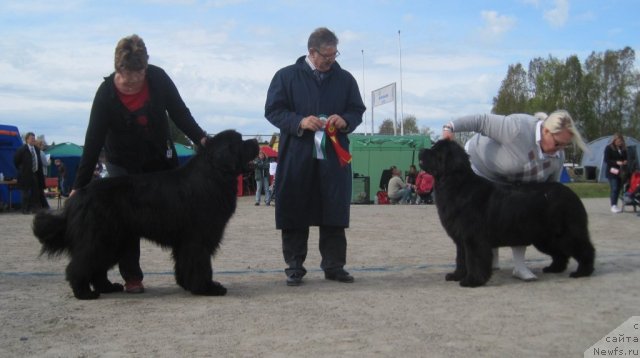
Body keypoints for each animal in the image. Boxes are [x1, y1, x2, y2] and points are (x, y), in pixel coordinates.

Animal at [32, 130, 258, 298]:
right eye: (240, 141)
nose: (256, 141)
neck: (214, 174)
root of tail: (77, 196)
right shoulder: (198, 237)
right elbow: (200, 263)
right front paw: (206, 287)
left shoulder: (185, 241)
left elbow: (184, 263)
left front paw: (187, 284)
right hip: (99, 237)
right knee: (80, 265)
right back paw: (84, 293)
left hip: (114, 240)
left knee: (97, 267)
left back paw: (108, 287)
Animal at [420, 140, 596, 288]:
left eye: (436, 151)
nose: (421, 150)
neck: (457, 185)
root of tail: (572, 194)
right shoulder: (461, 239)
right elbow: (461, 259)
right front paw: (456, 275)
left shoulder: (473, 238)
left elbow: (473, 260)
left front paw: (472, 281)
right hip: (546, 238)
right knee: (561, 254)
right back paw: (554, 268)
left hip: (567, 233)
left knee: (585, 249)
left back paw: (582, 272)